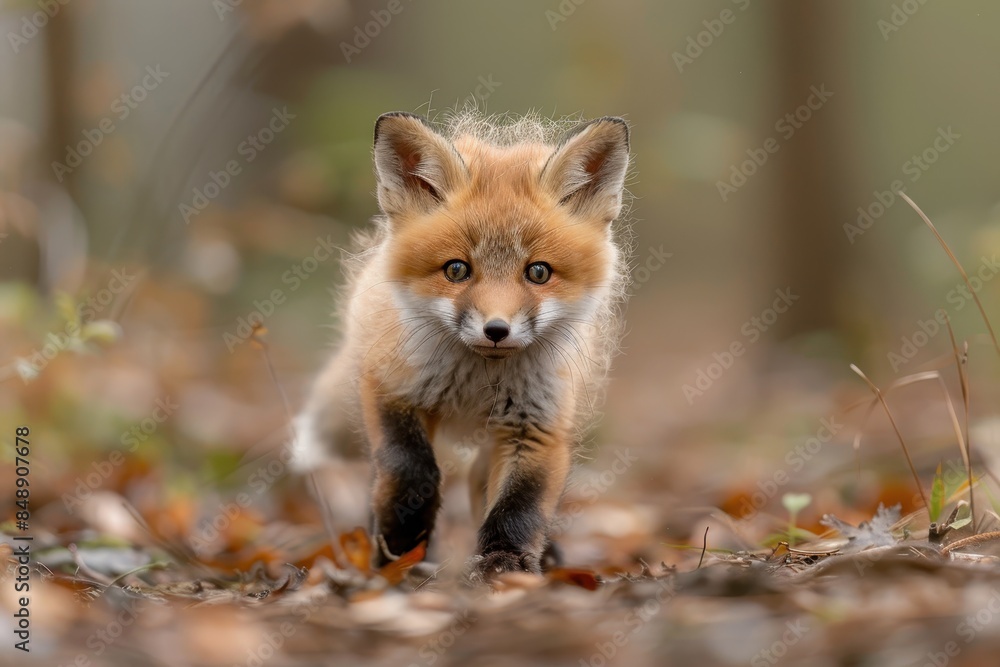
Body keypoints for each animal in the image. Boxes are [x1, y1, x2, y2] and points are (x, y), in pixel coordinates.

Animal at [292, 110, 631, 581]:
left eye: (538, 272)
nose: (496, 330)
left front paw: (504, 562)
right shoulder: (390, 389)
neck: (477, 381)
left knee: (478, 486)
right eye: (456, 270)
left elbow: (519, 504)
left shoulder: (537, 424)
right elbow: (411, 472)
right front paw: (398, 550)